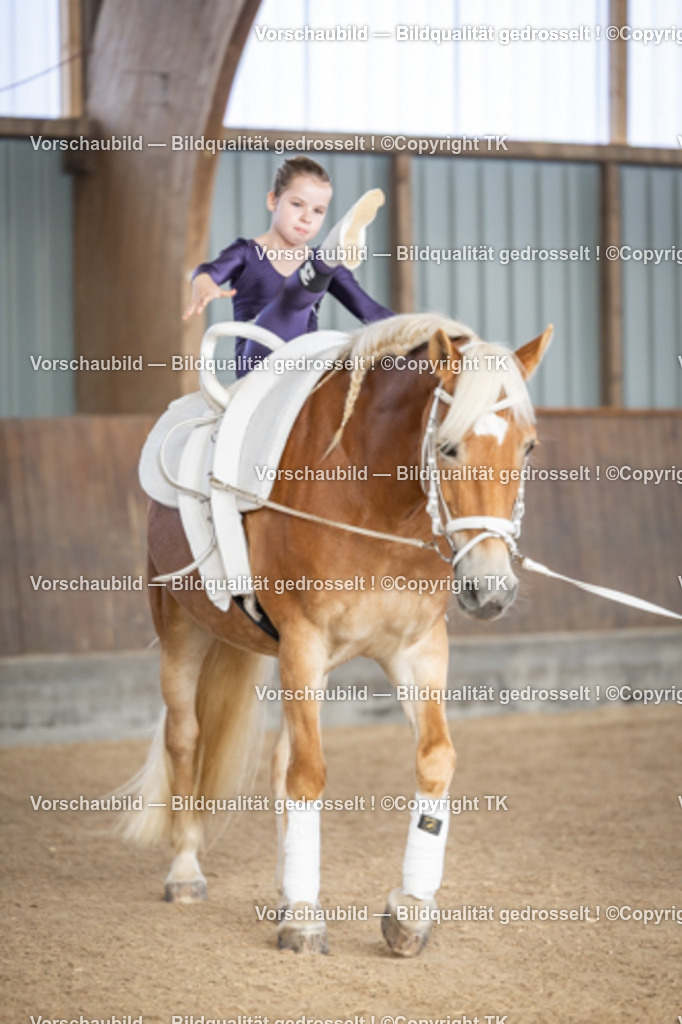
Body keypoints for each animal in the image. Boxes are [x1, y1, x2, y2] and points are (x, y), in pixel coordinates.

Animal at [120, 312, 553, 956]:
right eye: (447, 447)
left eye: (527, 446)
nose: (492, 589)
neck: (373, 498)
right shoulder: (304, 641)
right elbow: (308, 773)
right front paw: (304, 918)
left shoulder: (418, 649)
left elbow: (434, 760)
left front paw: (409, 910)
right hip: (183, 633)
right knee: (186, 738)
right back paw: (186, 871)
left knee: (278, 757)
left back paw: (283, 883)